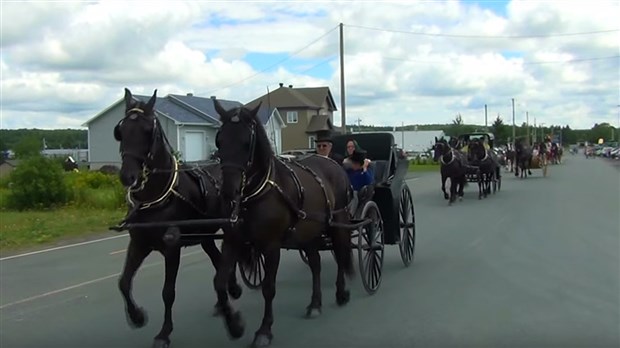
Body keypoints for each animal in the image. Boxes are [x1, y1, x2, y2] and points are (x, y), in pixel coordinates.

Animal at [112, 88, 241, 348]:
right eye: (120, 131)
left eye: (147, 130)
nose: (128, 176)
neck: (157, 197)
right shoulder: (139, 243)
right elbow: (124, 282)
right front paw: (137, 316)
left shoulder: (172, 248)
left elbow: (168, 292)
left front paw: (164, 332)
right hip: (204, 235)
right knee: (218, 259)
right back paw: (226, 295)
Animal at [211, 99, 354, 346]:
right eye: (219, 140)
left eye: (246, 142)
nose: (228, 192)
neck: (255, 194)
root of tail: (332, 163)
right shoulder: (232, 241)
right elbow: (220, 283)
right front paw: (235, 325)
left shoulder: (271, 246)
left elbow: (269, 288)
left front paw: (264, 330)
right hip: (309, 232)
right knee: (315, 263)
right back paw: (315, 304)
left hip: (338, 221)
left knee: (340, 252)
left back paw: (340, 293)